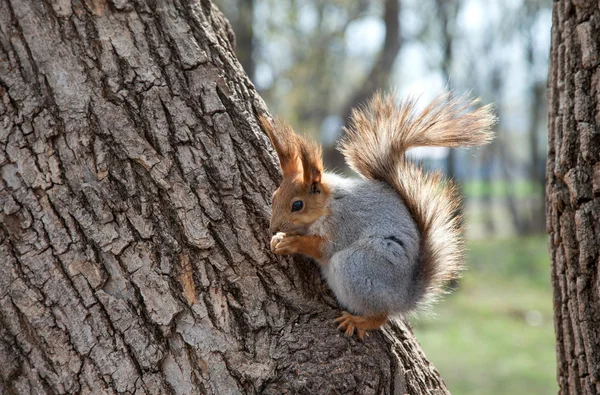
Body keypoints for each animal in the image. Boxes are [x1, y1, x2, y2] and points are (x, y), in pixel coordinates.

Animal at [260, 92, 494, 340]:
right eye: (274, 196)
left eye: (297, 205)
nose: (273, 228)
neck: (329, 203)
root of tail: (403, 298)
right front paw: (278, 239)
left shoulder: (344, 224)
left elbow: (322, 248)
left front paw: (291, 242)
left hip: (357, 267)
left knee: (380, 314)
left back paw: (359, 321)